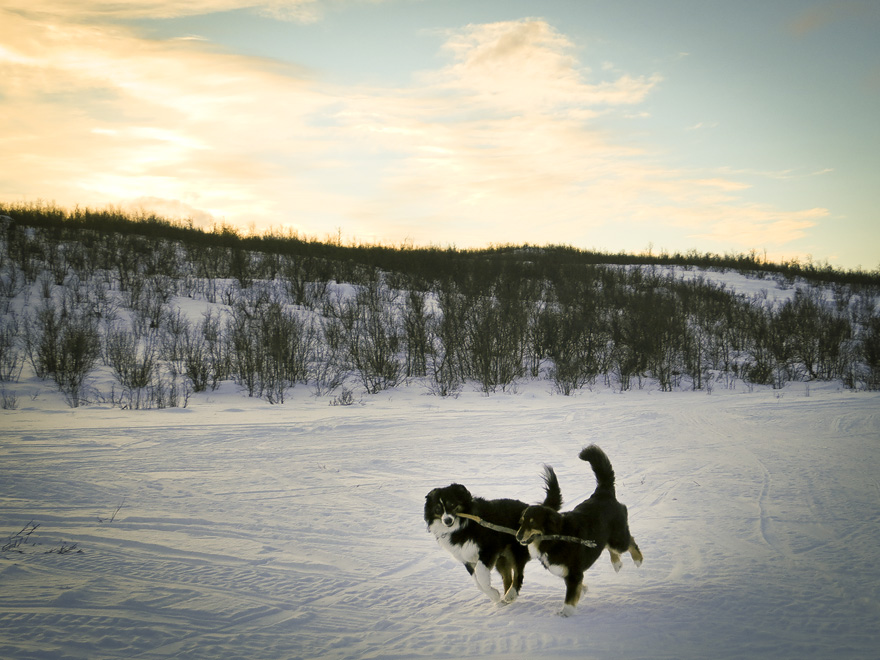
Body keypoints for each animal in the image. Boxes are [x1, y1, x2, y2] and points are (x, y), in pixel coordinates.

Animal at [424, 470, 560, 604]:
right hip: (502, 558)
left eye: (452, 504)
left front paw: (493, 593)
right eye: (437, 509)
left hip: (516, 549)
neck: (462, 526)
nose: (447, 520)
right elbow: (477, 581)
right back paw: (506, 599)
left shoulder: (489, 548)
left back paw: (511, 594)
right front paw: (494, 595)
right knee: (507, 577)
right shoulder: (466, 557)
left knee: (518, 574)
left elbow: (480, 573)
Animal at [512, 446, 644, 616]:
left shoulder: (574, 573)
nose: (518, 536)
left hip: (617, 539)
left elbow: (569, 598)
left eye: (532, 522)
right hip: (603, 537)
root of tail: (603, 492)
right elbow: (576, 590)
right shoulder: (568, 572)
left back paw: (638, 559)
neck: (555, 538)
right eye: (521, 522)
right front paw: (583, 591)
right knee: (610, 546)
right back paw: (617, 563)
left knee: (630, 541)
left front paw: (565, 614)